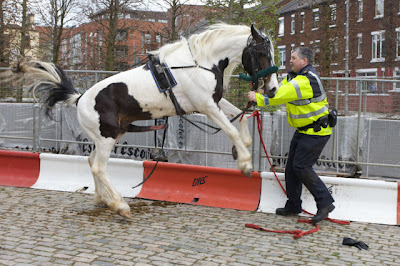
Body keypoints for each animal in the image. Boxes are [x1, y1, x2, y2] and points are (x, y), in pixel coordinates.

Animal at [9, 23, 278, 217]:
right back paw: (119, 205)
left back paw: (102, 199)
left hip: (110, 136)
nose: (273, 88)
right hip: (107, 138)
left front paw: (243, 145)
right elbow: (230, 129)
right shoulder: (206, 105)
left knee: (92, 161)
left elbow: (241, 115)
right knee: (98, 166)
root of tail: (80, 98)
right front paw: (245, 162)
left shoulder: (213, 102)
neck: (200, 63)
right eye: (261, 52)